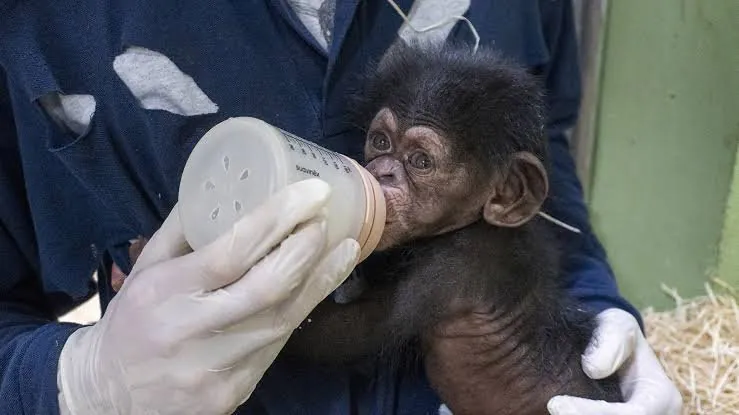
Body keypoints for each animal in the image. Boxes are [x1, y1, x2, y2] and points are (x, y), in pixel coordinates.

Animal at [279, 41, 624, 414]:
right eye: (382, 142)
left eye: (420, 161)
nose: (383, 171)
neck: (474, 224)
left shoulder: (451, 270)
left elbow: (347, 331)